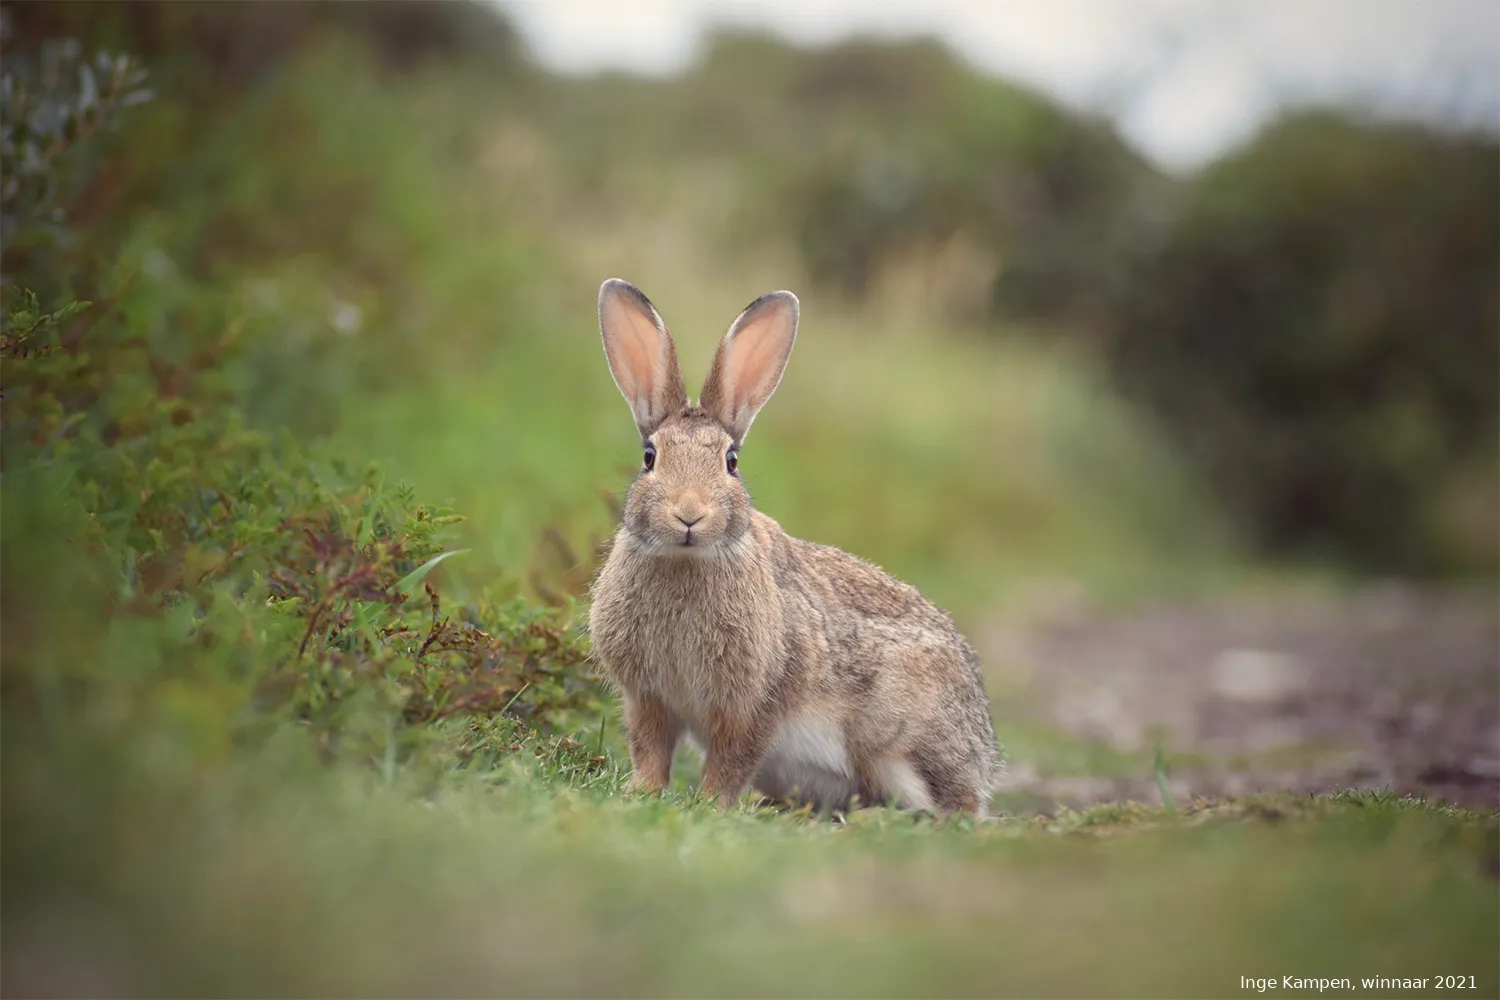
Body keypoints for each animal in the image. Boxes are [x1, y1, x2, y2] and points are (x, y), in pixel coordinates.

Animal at [585, 277, 996, 815]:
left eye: (731, 462)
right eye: (650, 457)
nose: (689, 513)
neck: (687, 560)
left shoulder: (756, 703)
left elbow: (731, 761)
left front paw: (709, 805)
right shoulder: (649, 698)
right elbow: (650, 750)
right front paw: (641, 793)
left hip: (901, 746)